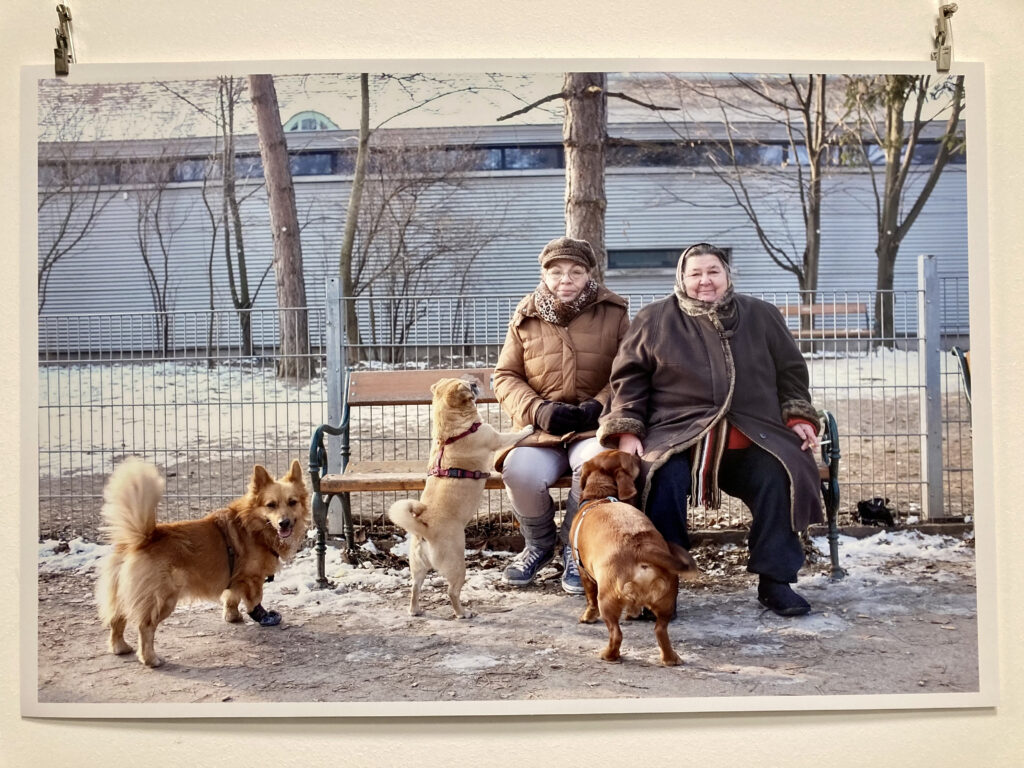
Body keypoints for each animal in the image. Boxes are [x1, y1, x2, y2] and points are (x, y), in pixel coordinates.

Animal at [389, 376, 536, 622]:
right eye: (468, 386)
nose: (475, 382)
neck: (449, 435)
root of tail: (424, 530)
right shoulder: (496, 437)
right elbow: (512, 436)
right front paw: (527, 428)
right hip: (457, 566)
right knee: (451, 592)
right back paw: (462, 613)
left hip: (418, 569)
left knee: (415, 588)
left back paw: (415, 609)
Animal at [573, 450, 700, 667]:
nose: (636, 454)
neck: (600, 497)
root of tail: (640, 547)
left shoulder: (584, 574)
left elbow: (589, 599)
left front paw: (588, 617)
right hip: (666, 602)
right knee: (660, 631)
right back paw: (670, 658)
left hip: (607, 601)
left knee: (616, 634)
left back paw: (609, 655)